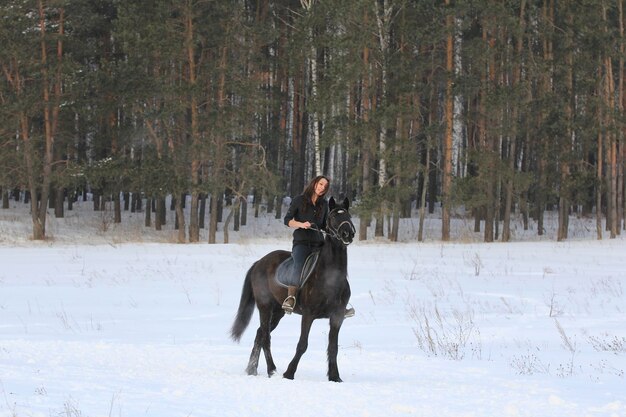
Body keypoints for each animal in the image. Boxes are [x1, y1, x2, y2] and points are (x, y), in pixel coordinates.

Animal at [230, 197, 356, 382]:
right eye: (333, 216)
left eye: (349, 215)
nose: (348, 234)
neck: (330, 278)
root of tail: (259, 262)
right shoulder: (308, 315)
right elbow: (302, 344)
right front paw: (289, 373)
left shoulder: (337, 317)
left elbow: (333, 347)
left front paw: (335, 377)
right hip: (265, 307)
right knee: (265, 337)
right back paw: (272, 370)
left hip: (278, 311)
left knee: (260, 334)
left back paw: (252, 369)